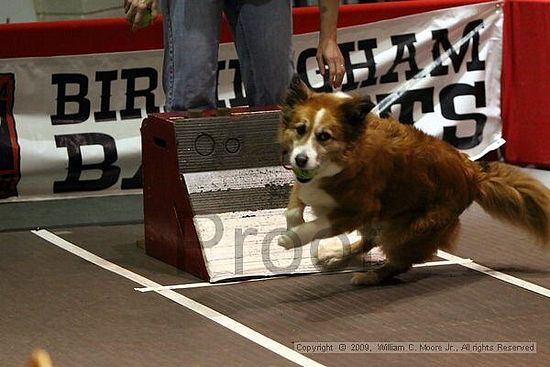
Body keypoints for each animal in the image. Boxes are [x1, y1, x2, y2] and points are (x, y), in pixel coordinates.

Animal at [278, 75, 550, 286]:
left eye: (324, 136)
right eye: (300, 129)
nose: (301, 159)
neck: (343, 156)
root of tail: (472, 171)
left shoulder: (360, 209)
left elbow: (318, 225)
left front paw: (293, 238)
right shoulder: (304, 183)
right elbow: (293, 208)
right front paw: (294, 226)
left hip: (411, 229)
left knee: (400, 262)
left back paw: (369, 277)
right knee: (369, 241)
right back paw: (337, 253)